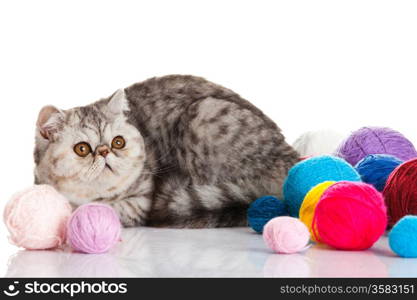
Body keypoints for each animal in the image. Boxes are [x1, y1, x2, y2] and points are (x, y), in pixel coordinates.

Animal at [34, 75, 298, 227]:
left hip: (204, 114)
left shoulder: (141, 202)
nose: (104, 152)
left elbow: (106, 209)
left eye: (118, 142)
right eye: (82, 149)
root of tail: (289, 159)